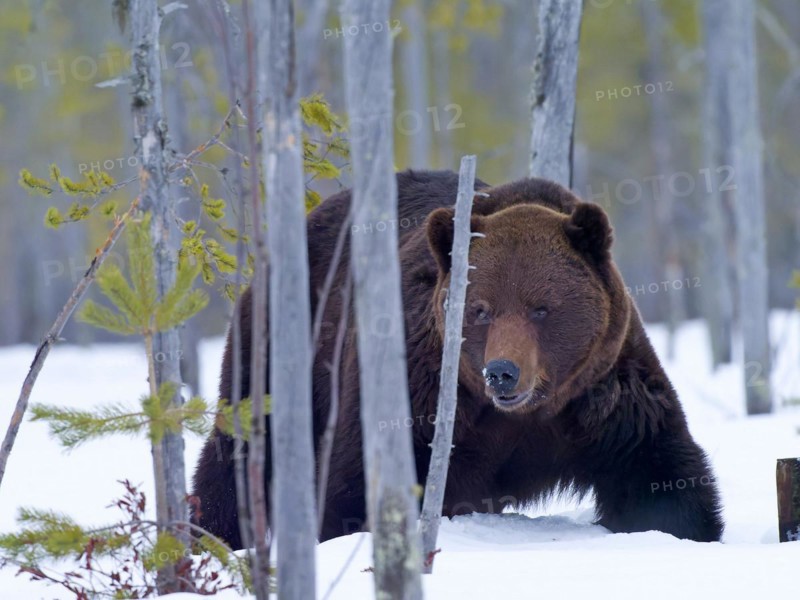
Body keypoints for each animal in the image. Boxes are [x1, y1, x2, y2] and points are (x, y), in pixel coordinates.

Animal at [191, 169, 724, 548]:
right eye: (480, 308)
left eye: (541, 307)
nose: (503, 372)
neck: (522, 415)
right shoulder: (419, 386)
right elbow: (356, 481)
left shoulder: (604, 391)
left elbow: (658, 471)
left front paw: (680, 526)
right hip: (284, 344)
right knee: (238, 448)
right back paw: (213, 534)